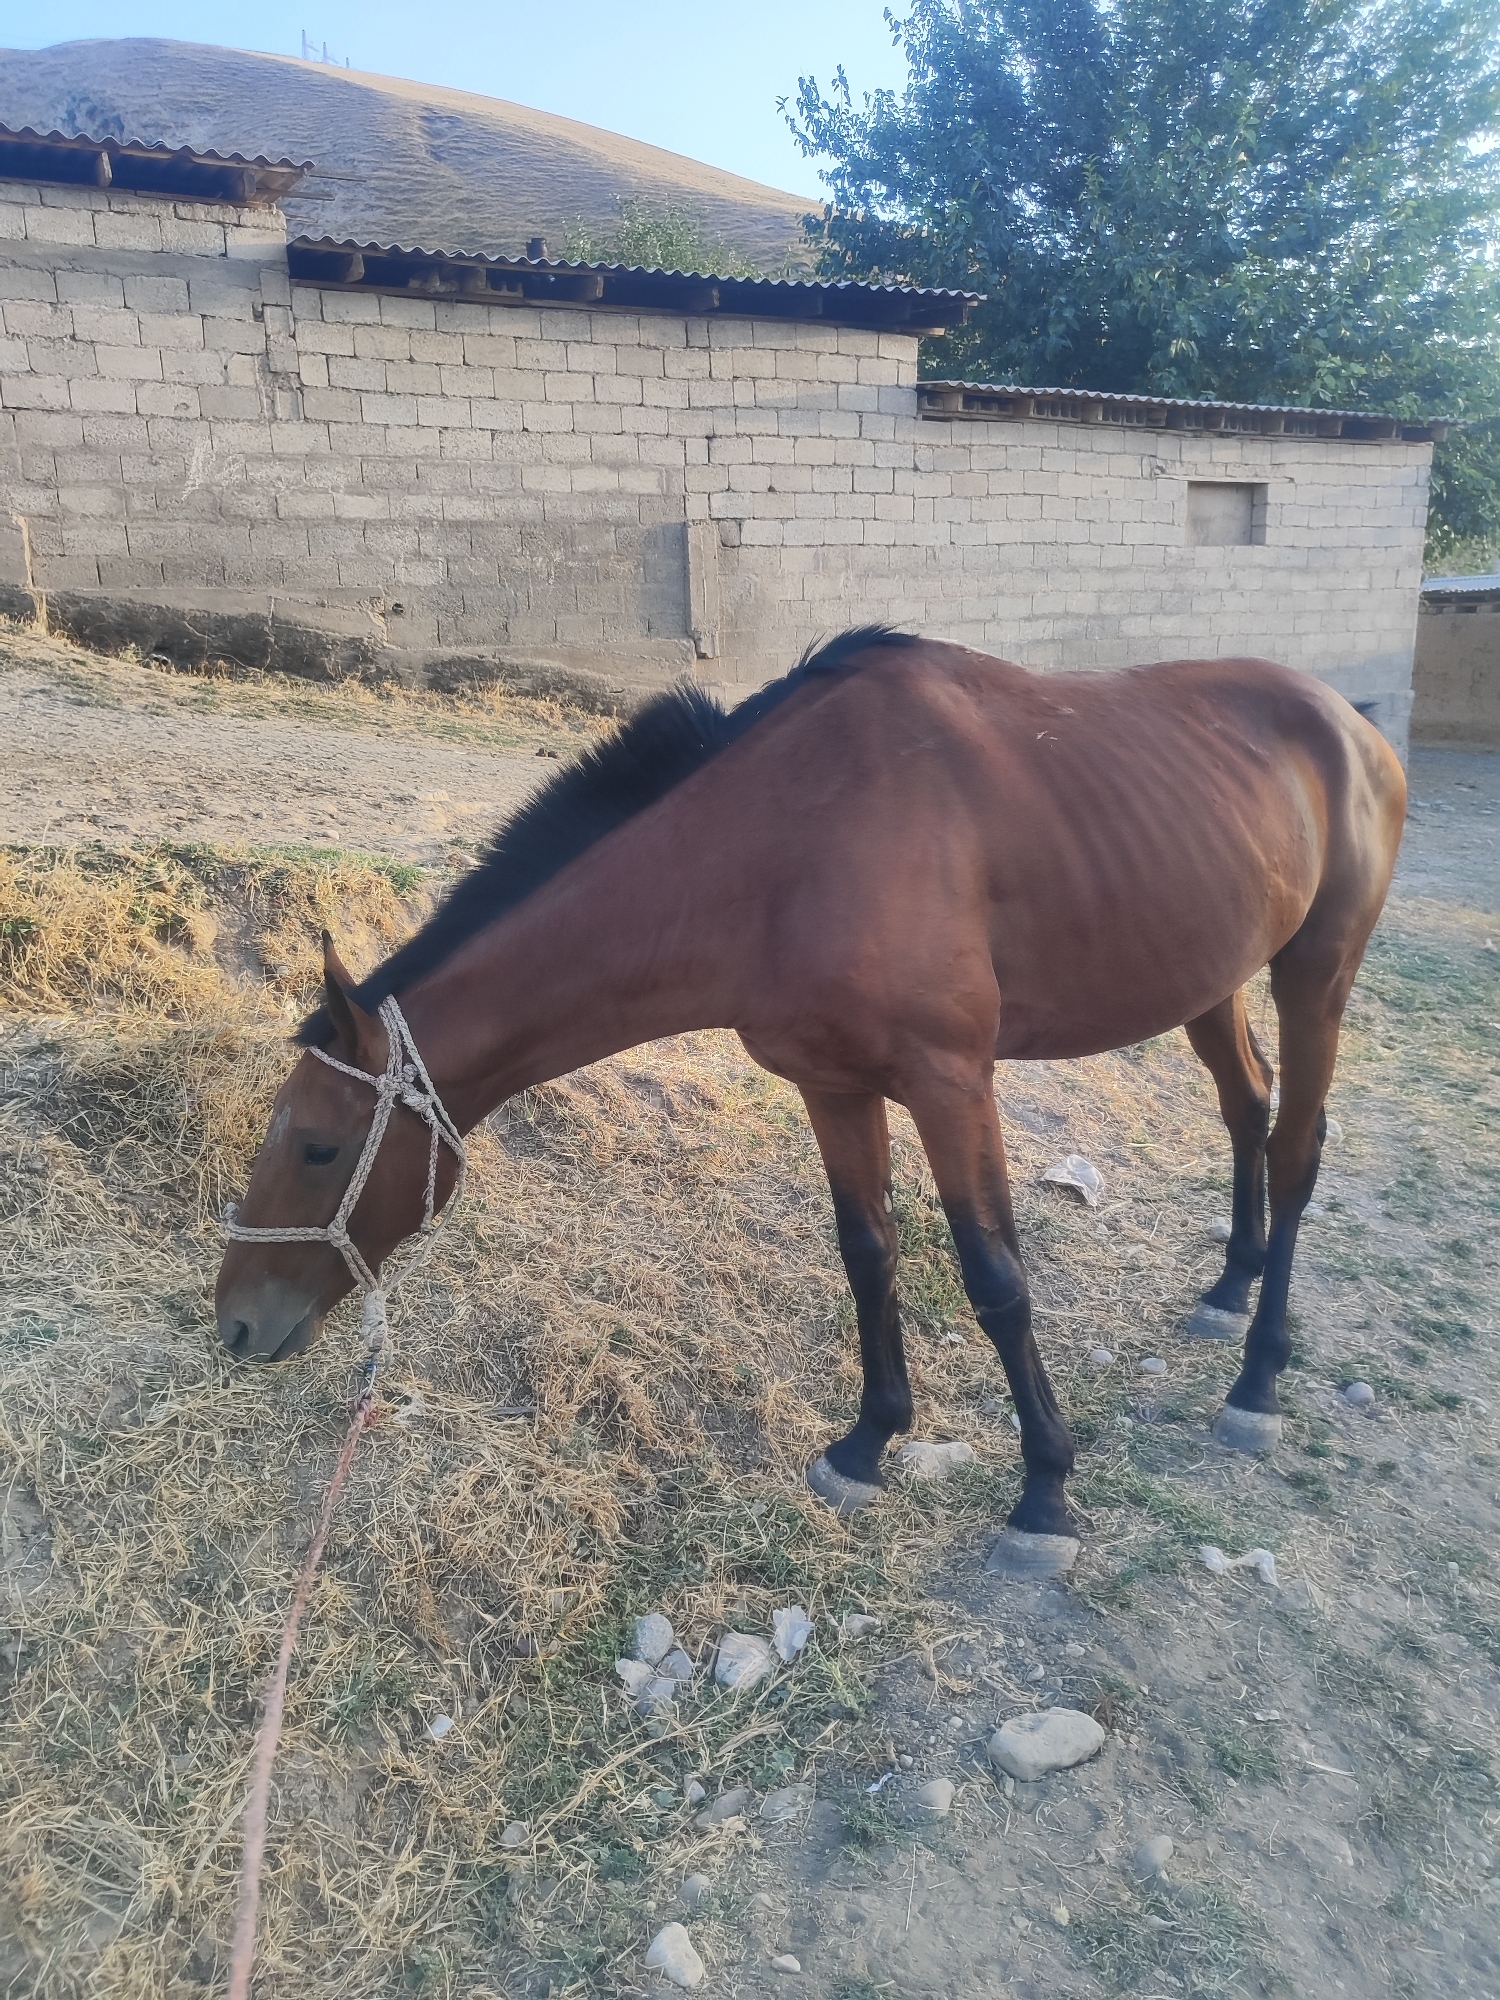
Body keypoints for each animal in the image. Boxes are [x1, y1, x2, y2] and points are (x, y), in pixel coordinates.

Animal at [215, 628, 1406, 1578]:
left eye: (319, 1148)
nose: (235, 1324)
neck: (793, 842)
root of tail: (1352, 722)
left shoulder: (950, 1081)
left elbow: (996, 1280)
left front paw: (1044, 1493)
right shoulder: (833, 1087)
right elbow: (867, 1251)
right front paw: (867, 1444)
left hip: (1317, 973)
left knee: (1298, 1146)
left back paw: (1257, 1379)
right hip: (1211, 975)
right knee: (1248, 1109)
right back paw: (1229, 1284)